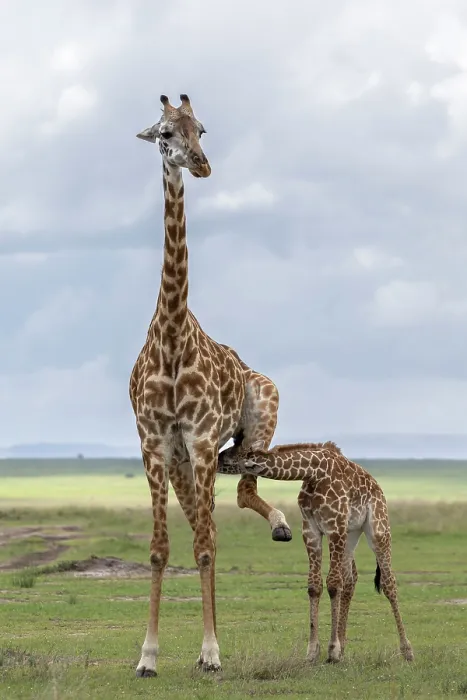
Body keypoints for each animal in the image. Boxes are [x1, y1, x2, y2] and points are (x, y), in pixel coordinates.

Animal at [131, 94, 291, 677]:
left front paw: (211, 652)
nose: (200, 164)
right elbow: (161, 548)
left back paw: (280, 526)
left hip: (256, 422)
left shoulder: (199, 439)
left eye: (201, 128)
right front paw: (148, 656)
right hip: (184, 463)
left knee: (233, 502)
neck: (172, 336)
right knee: (212, 523)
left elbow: (201, 545)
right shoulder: (156, 444)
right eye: (163, 133)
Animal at [218, 440, 414, 664]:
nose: (217, 458)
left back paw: (407, 650)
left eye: (234, 452)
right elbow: (314, 586)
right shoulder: (311, 530)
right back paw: (344, 646)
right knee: (350, 579)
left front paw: (332, 650)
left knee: (388, 582)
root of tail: (378, 487)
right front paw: (314, 651)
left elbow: (333, 584)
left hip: (378, 528)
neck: (313, 472)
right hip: (351, 533)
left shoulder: (334, 527)